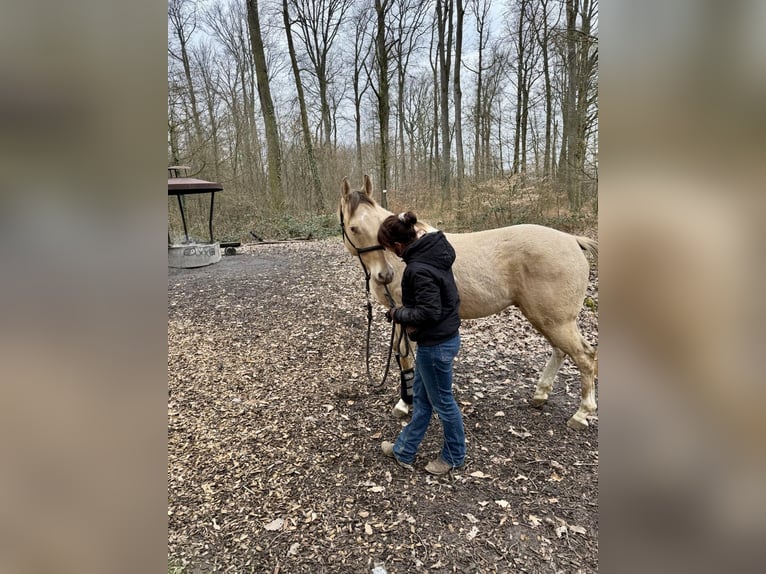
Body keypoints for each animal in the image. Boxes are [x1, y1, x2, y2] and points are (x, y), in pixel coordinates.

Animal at [339, 175, 598, 430]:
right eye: (354, 228)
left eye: (379, 226)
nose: (385, 275)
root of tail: (572, 240)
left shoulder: (406, 315)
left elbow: (404, 356)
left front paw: (404, 403)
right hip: (547, 319)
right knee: (560, 351)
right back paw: (540, 395)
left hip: (556, 321)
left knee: (585, 356)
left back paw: (581, 414)